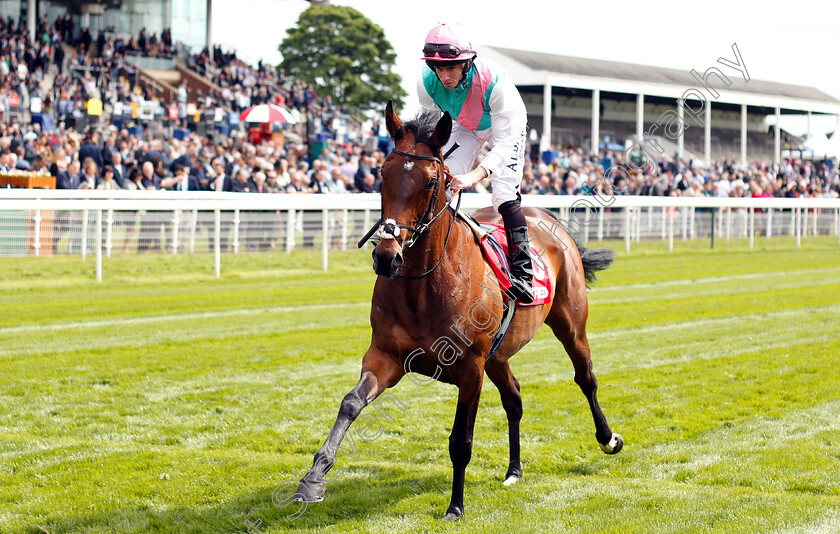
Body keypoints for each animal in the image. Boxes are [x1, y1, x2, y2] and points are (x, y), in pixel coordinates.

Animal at [296, 102, 624, 520]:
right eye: (382, 173)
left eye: (431, 181)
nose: (386, 256)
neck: (424, 287)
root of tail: (551, 221)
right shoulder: (385, 356)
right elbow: (350, 403)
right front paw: (313, 479)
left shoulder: (470, 370)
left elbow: (460, 442)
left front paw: (455, 506)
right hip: (498, 353)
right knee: (514, 397)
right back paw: (514, 470)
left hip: (569, 323)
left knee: (586, 377)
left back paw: (608, 438)